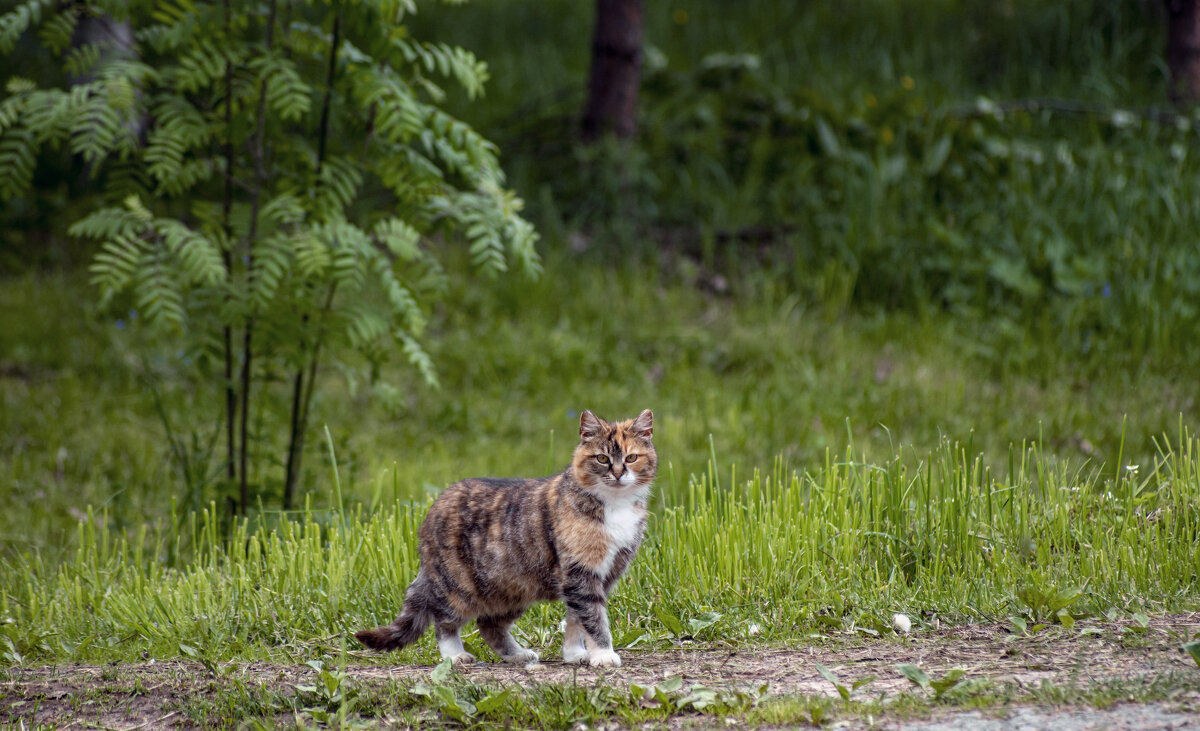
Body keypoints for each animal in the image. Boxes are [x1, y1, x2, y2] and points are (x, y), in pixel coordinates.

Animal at [355, 408, 657, 662]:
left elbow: (575, 619)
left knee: (488, 625)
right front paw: (603, 655)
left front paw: (575, 654)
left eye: (631, 458)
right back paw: (455, 656)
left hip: (511, 587)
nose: (617, 474)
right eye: (602, 458)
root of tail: (435, 506)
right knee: (443, 619)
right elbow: (593, 619)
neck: (614, 505)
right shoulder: (580, 573)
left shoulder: (601, 574)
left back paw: (517, 655)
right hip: (460, 586)